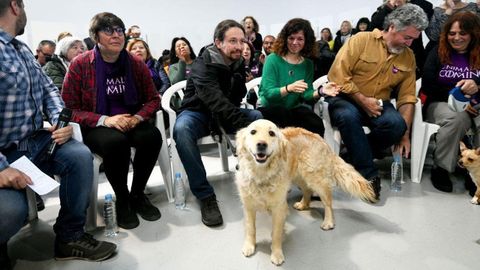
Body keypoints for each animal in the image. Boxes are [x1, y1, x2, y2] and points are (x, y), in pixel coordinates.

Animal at [234, 119, 376, 264]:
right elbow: (250, 228)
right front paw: (249, 246)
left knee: (328, 202)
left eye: (271, 133)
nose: (261, 144)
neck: (261, 174)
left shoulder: (279, 208)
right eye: (253, 132)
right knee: (307, 190)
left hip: (316, 179)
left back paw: (328, 222)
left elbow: (276, 233)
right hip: (299, 176)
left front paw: (277, 254)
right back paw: (303, 204)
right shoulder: (248, 206)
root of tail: (321, 139)